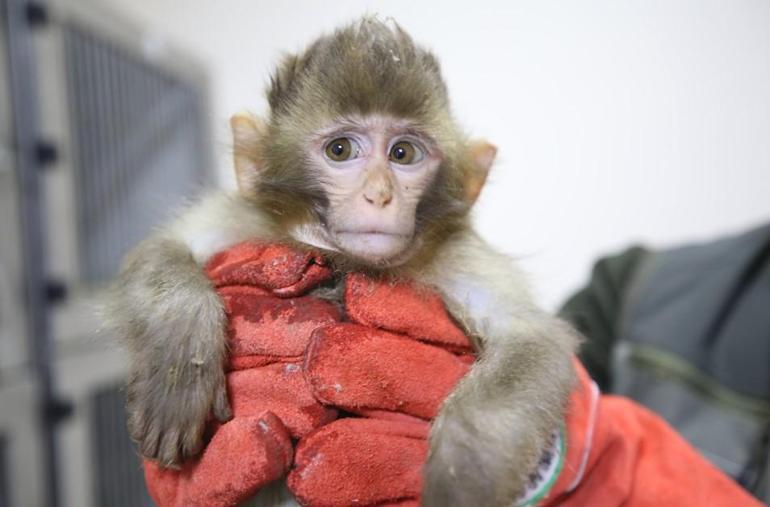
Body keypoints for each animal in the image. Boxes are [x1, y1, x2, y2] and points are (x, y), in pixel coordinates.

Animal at [106, 18, 576, 507]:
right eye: (340, 150)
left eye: (403, 153)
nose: (379, 195)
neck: (345, 259)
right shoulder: (246, 220)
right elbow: (162, 247)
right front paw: (181, 356)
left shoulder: (457, 256)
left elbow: (532, 338)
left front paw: (460, 476)